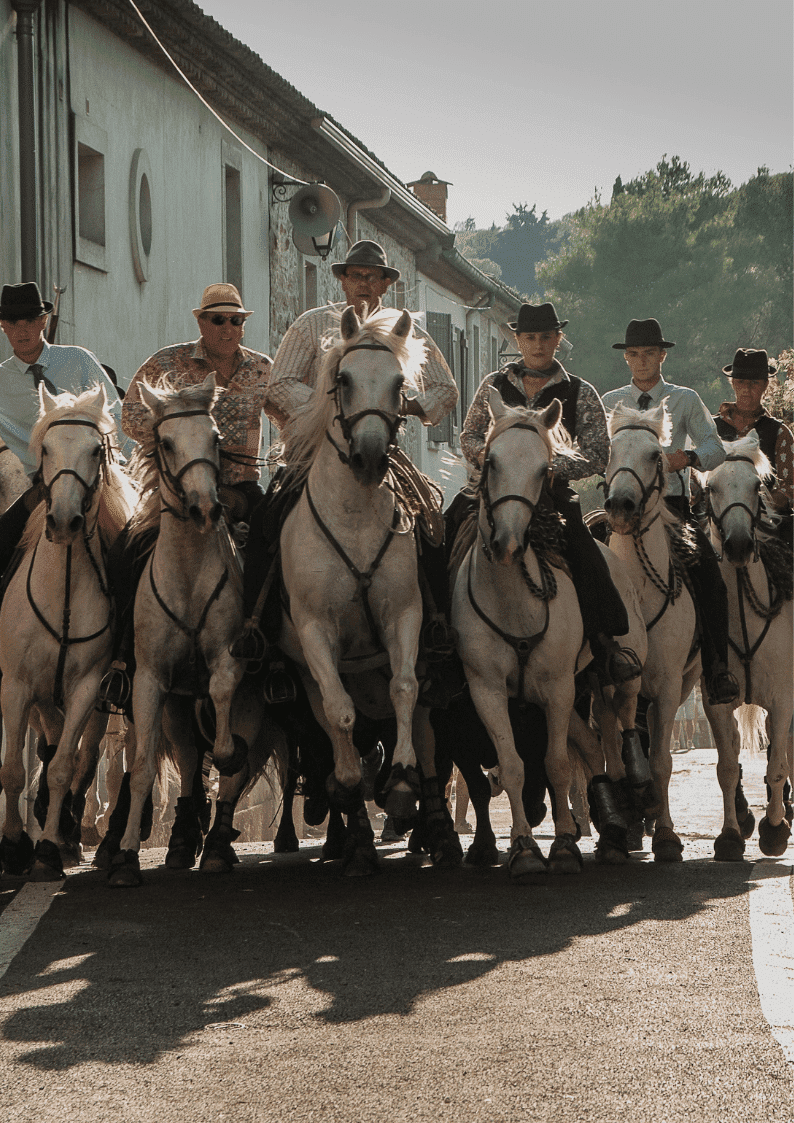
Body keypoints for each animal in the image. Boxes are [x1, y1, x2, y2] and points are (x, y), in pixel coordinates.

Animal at [0, 384, 135, 875]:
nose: (62, 521)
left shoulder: (85, 689)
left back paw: (71, 833)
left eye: (96, 450)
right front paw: (15, 844)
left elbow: (63, 767)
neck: (62, 593)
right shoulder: (17, 686)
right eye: (46, 449)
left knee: (80, 756)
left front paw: (47, 848)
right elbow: (14, 770)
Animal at [108, 377, 250, 884]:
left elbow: (225, 702)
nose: (206, 506)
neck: (187, 574)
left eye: (216, 438)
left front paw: (229, 753)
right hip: (175, 702)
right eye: (166, 442)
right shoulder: (151, 680)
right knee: (187, 760)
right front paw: (127, 856)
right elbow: (144, 768)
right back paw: (185, 837)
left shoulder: (227, 658)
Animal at [278, 307, 455, 875]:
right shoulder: (314, 631)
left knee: (421, 729)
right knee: (339, 725)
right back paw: (352, 835)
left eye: (400, 383)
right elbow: (341, 716)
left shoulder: (405, 616)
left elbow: (404, 690)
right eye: (343, 380)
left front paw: (398, 782)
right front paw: (352, 792)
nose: (371, 457)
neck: (353, 517)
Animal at [453, 390, 597, 880]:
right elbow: (513, 766)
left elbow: (557, 764)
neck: (513, 601)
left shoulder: (559, 688)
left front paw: (566, 845)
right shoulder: (485, 690)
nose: (508, 544)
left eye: (542, 470)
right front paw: (524, 848)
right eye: (491, 461)